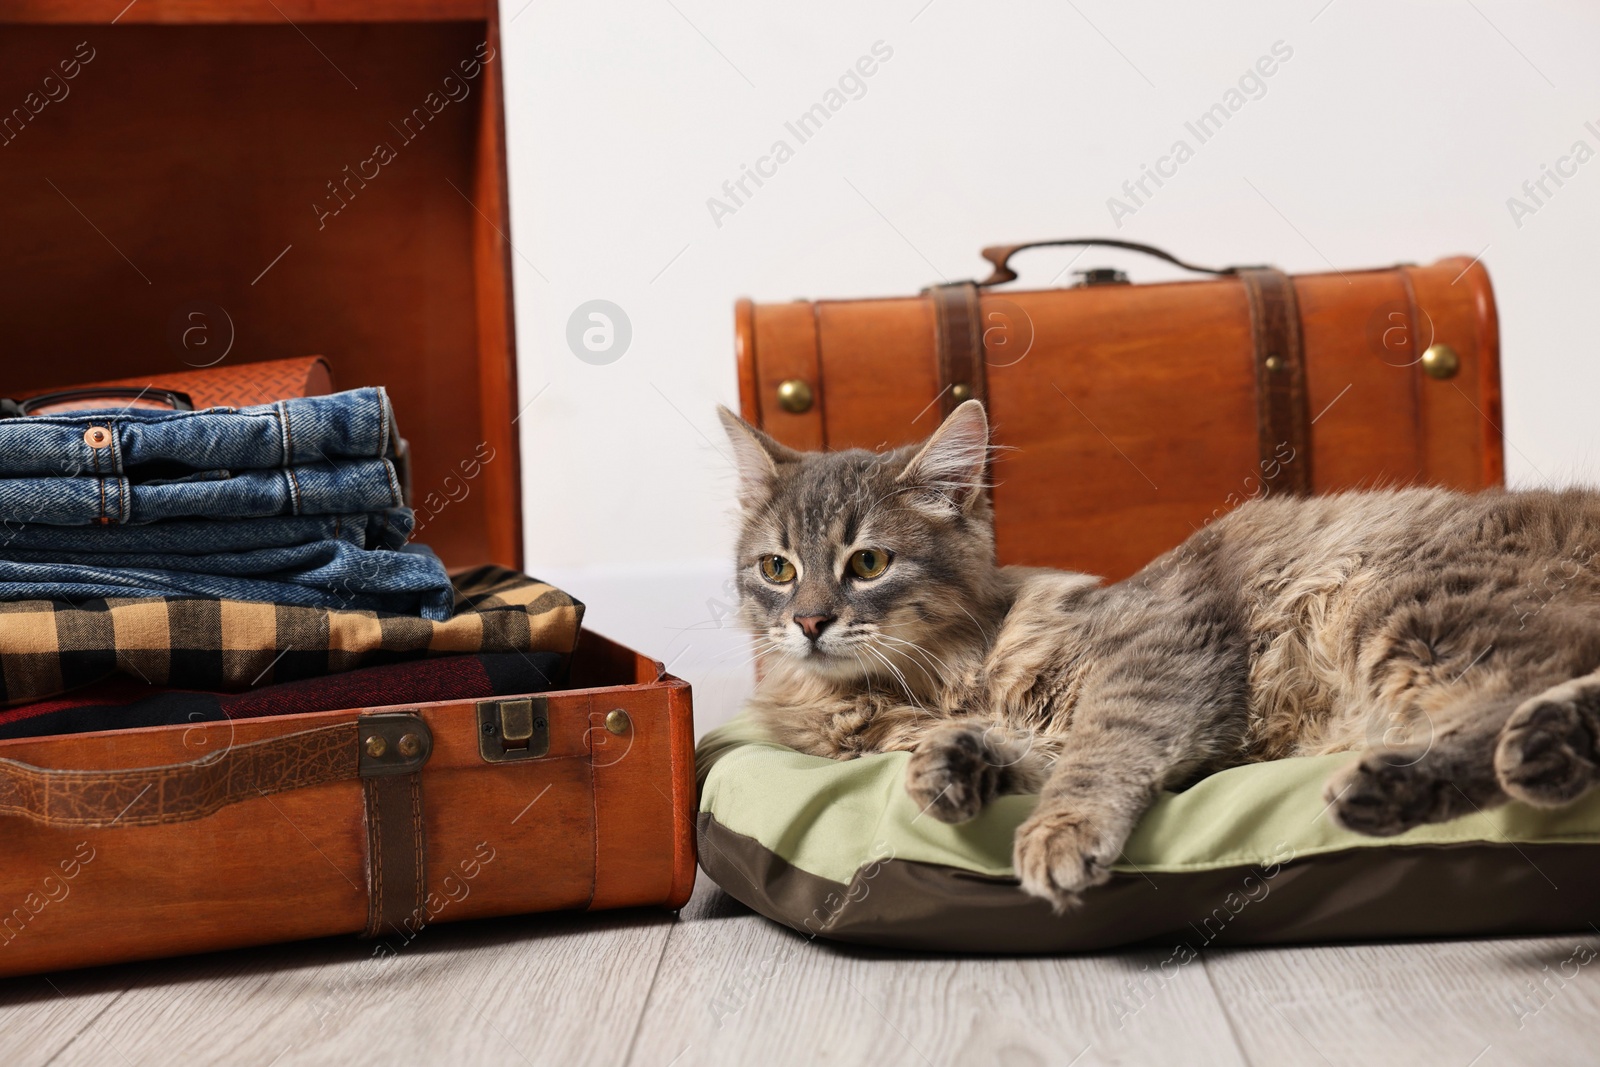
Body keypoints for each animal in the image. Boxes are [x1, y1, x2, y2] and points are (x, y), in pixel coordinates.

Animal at [720, 398, 1600, 908]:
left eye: (868, 563)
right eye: (777, 568)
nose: (808, 622)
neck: (931, 682)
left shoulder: (1164, 650)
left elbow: (1100, 754)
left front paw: (1059, 832)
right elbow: (1014, 750)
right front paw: (950, 765)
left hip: (1418, 613)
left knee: (1512, 700)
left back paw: (1429, 775)